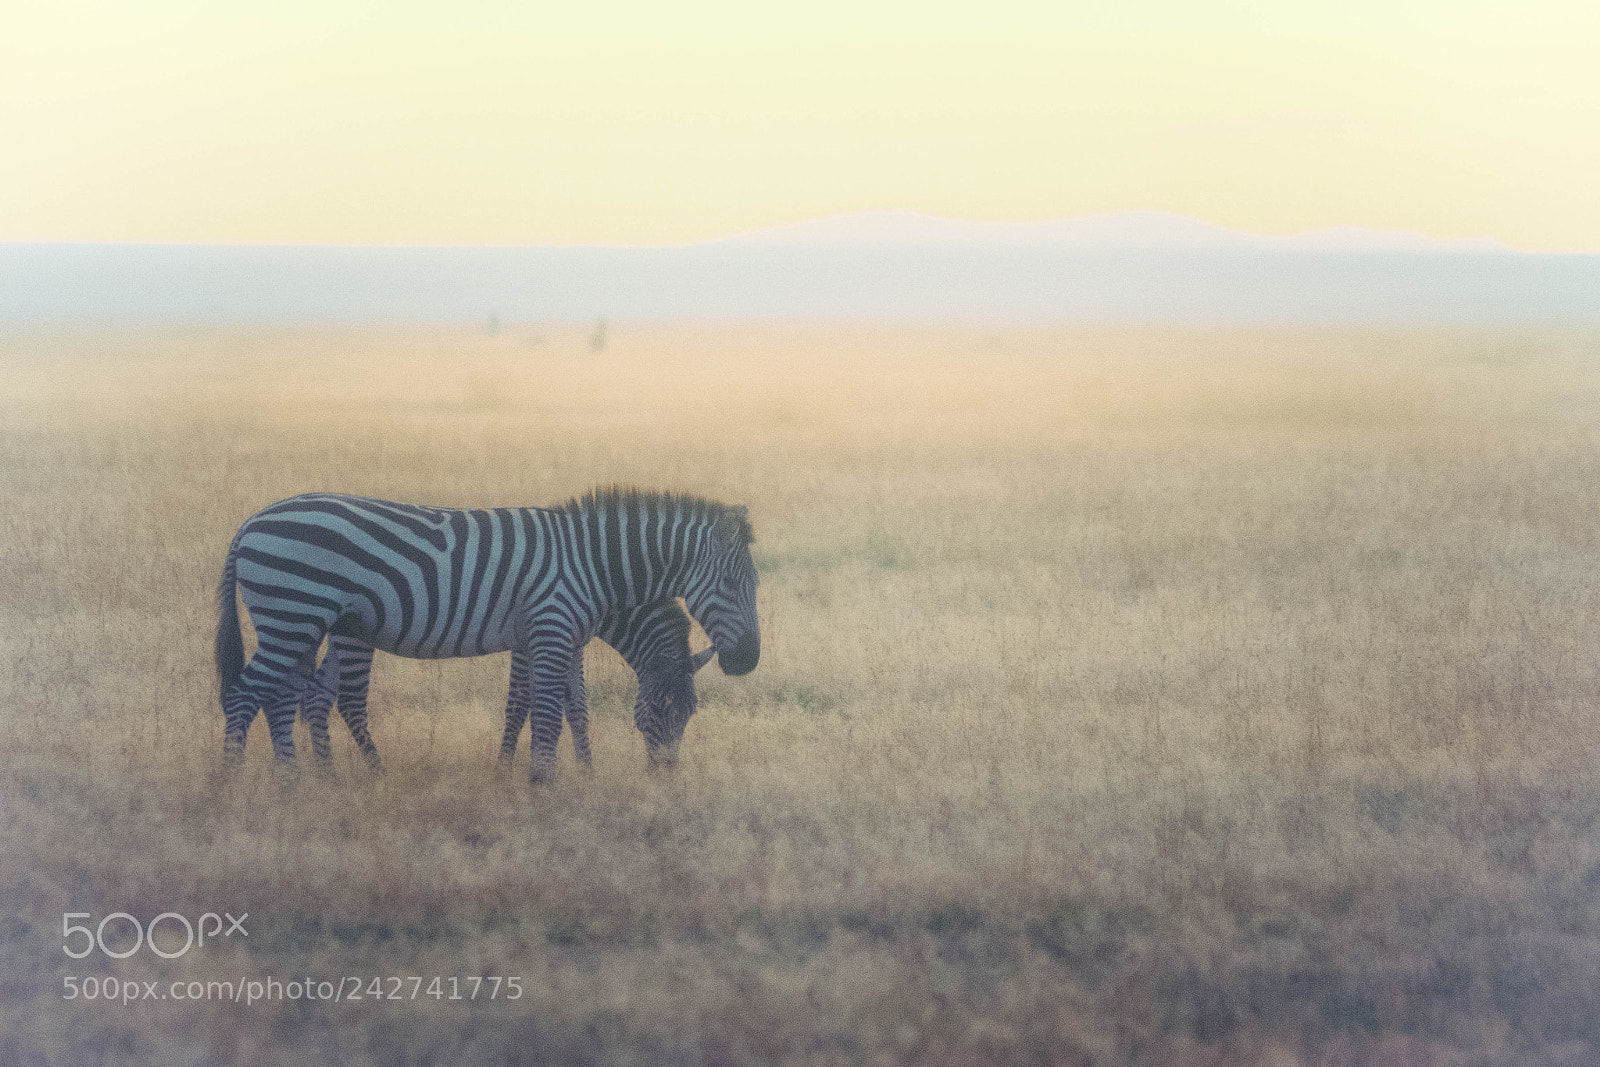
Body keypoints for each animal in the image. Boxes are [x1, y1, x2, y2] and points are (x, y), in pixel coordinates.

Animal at [296, 598, 717, 771]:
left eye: (692, 712)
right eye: (660, 708)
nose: (665, 772)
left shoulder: (572, 644)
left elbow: (577, 709)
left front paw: (586, 770)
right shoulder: (530, 643)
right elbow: (520, 704)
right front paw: (504, 767)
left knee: (317, 695)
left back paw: (324, 772)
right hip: (353, 636)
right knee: (341, 700)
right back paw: (373, 771)